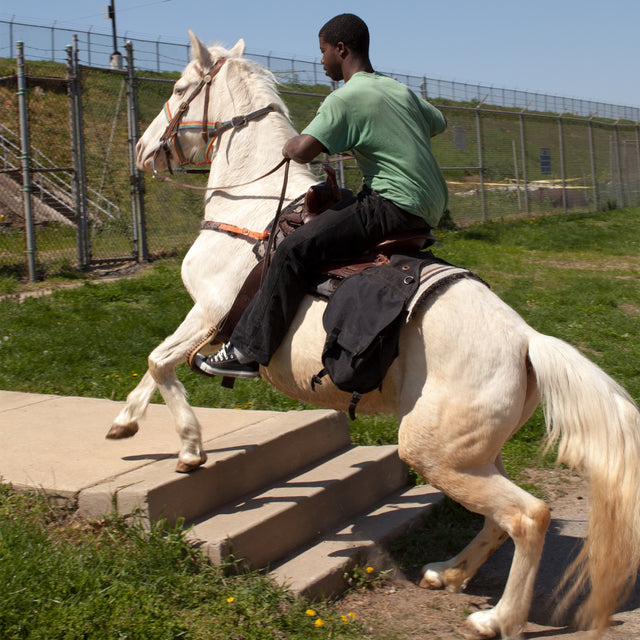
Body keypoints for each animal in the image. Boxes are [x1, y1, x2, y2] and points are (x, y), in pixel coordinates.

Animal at [109, 31, 640, 639]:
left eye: (178, 89)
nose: (143, 149)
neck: (254, 211)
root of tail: (527, 341)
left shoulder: (212, 312)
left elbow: (161, 361)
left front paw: (191, 448)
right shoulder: (203, 318)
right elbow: (157, 366)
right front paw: (124, 423)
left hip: (432, 451)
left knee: (529, 516)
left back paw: (496, 617)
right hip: (469, 455)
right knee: (497, 518)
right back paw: (447, 572)